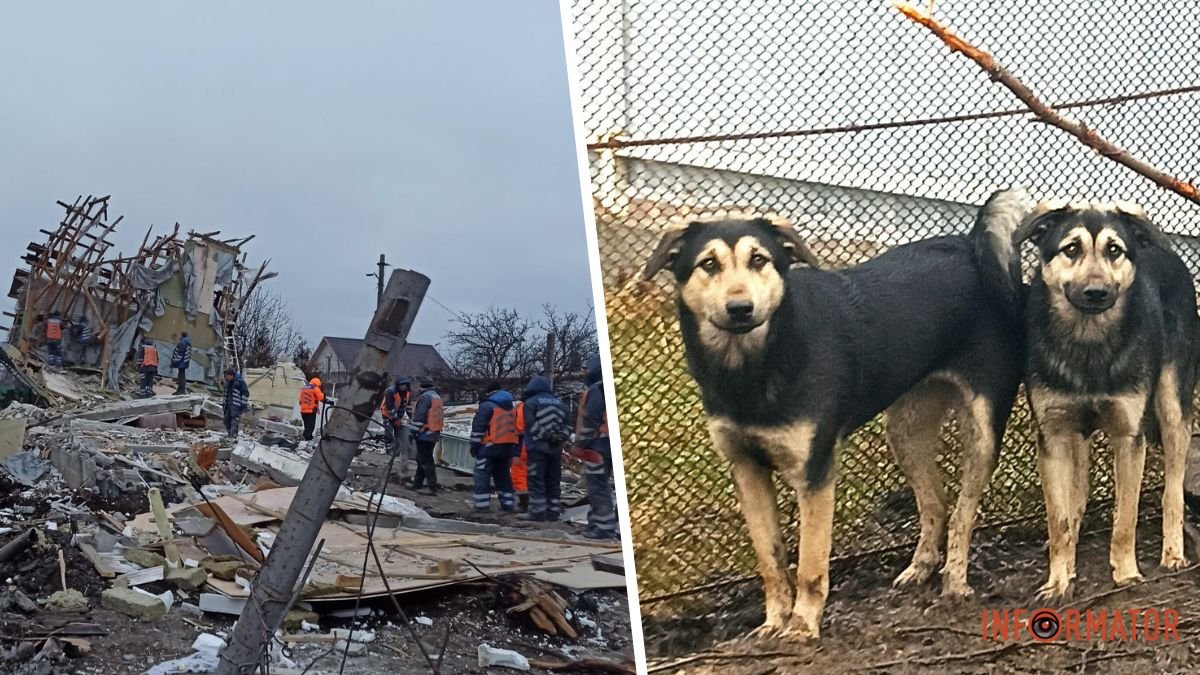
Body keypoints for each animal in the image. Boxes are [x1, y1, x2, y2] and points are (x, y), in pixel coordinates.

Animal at [648, 187, 1032, 634]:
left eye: (759, 259)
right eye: (708, 264)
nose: (740, 308)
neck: (753, 364)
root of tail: (970, 246)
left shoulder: (815, 472)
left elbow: (809, 563)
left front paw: (802, 625)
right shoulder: (746, 469)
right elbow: (770, 560)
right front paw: (774, 622)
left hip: (983, 428)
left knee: (963, 512)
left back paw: (954, 580)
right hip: (905, 428)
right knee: (934, 503)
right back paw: (920, 568)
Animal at [1012, 196, 1200, 595]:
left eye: (1114, 250)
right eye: (1071, 249)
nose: (1096, 293)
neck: (1089, 342)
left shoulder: (1129, 436)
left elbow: (1125, 516)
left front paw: (1126, 573)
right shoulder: (1053, 436)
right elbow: (1059, 518)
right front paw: (1059, 577)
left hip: (1172, 408)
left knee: (1173, 489)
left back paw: (1173, 551)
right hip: (1075, 435)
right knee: (1077, 493)